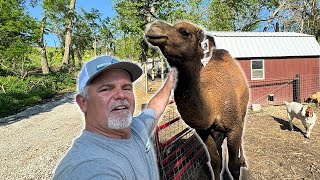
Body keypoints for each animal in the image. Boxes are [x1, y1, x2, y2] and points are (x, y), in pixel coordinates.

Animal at [145, 20, 250, 179]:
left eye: (184, 32)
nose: (153, 27)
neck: (212, 104)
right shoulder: (203, 130)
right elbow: (215, 162)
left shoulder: (234, 127)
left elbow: (233, 166)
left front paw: (238, 164)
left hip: (242, 112)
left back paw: (243, 160)